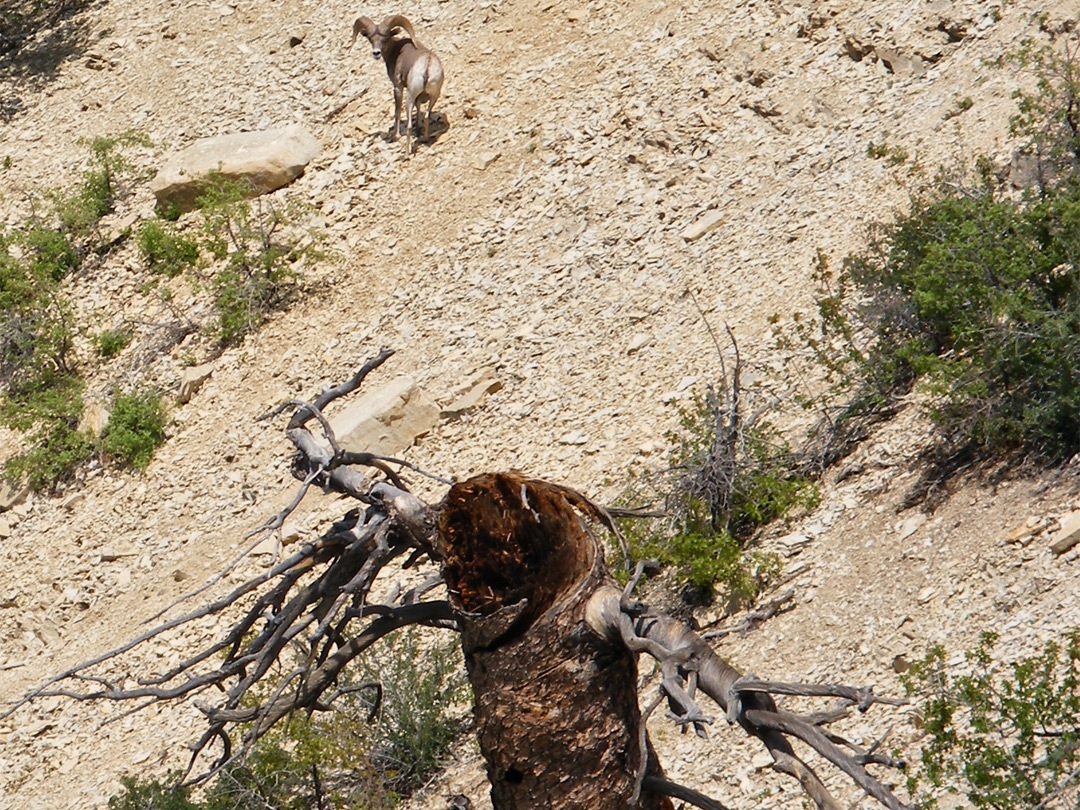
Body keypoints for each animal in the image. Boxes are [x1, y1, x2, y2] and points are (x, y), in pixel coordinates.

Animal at [349, 15, 442, 155]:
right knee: (426, 116)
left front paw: (395, 136)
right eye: (370, 39)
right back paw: (425, 139)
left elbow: (397, 111)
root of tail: (427, 66)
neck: (395, 51)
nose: (376, 53)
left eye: (385, 38)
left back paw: (407, 153)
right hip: (434, 95)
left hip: (409, 96)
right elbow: (419, 107)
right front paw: (418, 129)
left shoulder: (398, 87)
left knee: (408, 124)